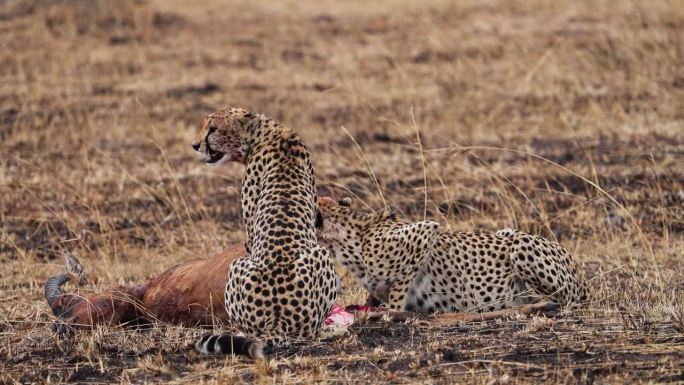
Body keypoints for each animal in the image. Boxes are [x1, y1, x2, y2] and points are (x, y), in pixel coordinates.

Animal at [191, 107, 336, 356]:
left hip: (238, 264)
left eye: (213, 129)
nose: (195, 145)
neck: (265, 133)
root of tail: (278, 318)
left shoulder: (251, 229)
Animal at [316, 196, 588, 314]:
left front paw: (391, 312)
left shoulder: (425, 232)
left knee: (564, 300)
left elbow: (398, 290)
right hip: (507, 231)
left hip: (521, 246)